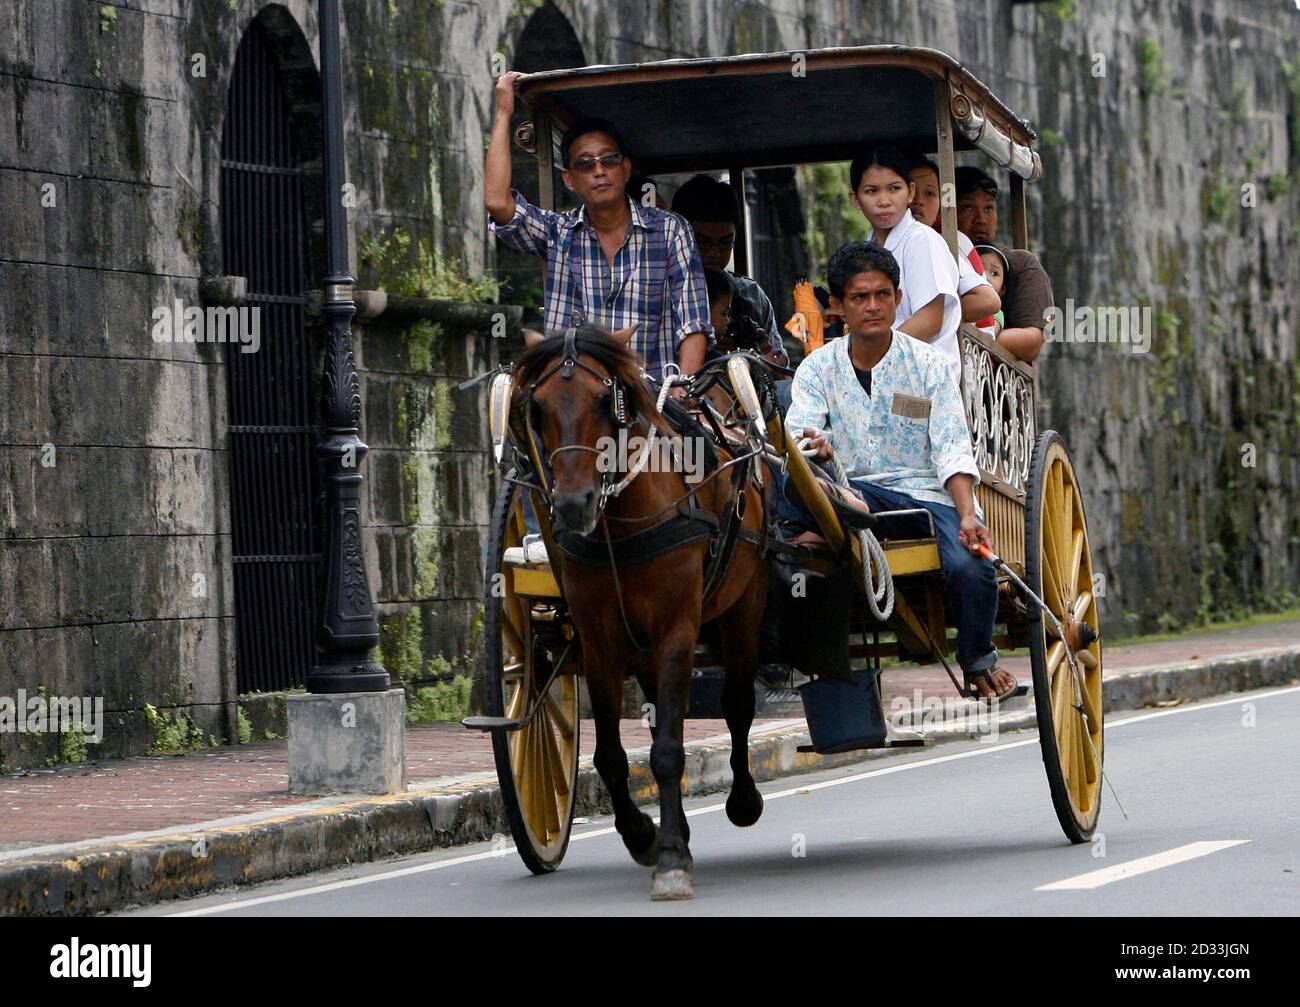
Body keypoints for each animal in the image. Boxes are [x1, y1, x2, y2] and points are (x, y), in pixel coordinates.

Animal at [509, 327, 769, 904]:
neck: (619, 524)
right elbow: (610, 755)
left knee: (738, 704)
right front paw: (645, 836)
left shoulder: (677, 630)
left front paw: (671, 859)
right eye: (535, 409)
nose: (574, 505)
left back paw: (743, 800)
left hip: (743, 607)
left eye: (606, 401)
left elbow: (669, 749)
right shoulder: (599, 641)